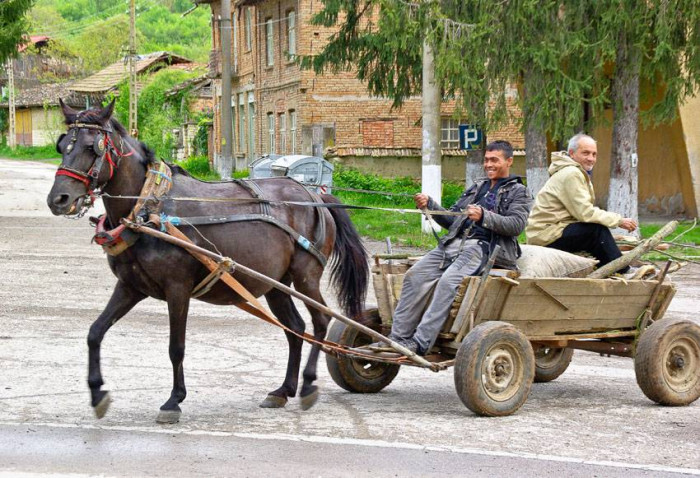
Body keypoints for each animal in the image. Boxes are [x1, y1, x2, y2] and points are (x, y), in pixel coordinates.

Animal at [46, 101, 370, 422]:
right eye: (62, 145)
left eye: (93, 147)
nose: (58, 199)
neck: (149, 208)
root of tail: (314, 196)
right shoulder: (130, 287)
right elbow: (95, 333)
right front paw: (97, 392)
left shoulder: (178, 289)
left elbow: (176, 347)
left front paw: (173, 401)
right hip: (275, 284)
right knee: (295, 327)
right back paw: (283, 390)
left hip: (306, 276)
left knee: (320, 321)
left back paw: (308, 385)